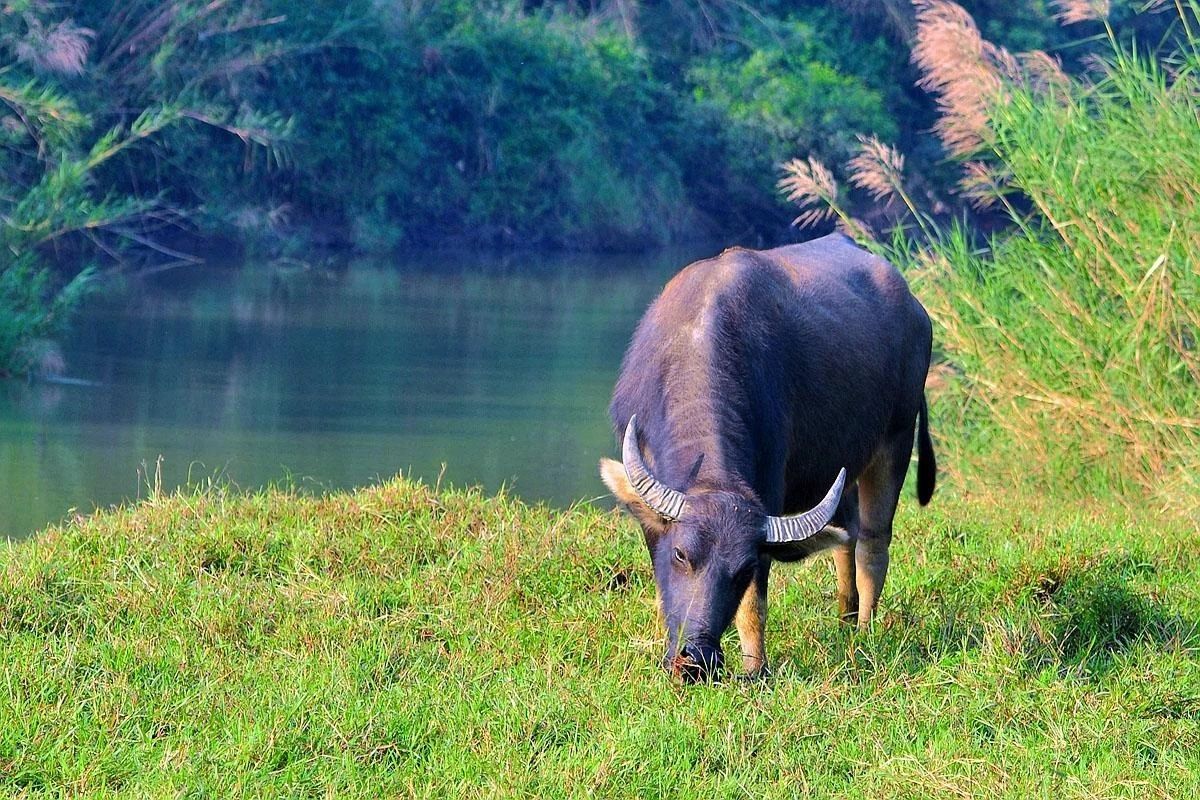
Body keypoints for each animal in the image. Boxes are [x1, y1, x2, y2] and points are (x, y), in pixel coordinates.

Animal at [604, 232, 931, 681]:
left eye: (743, 570)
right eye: (682, 554)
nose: (696, 660)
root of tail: (915, 308)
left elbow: (753, 607)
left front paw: (754, 668)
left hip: (897, 438)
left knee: (872, 542)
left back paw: (865, 632)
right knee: (846, 533)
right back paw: (844, 619)